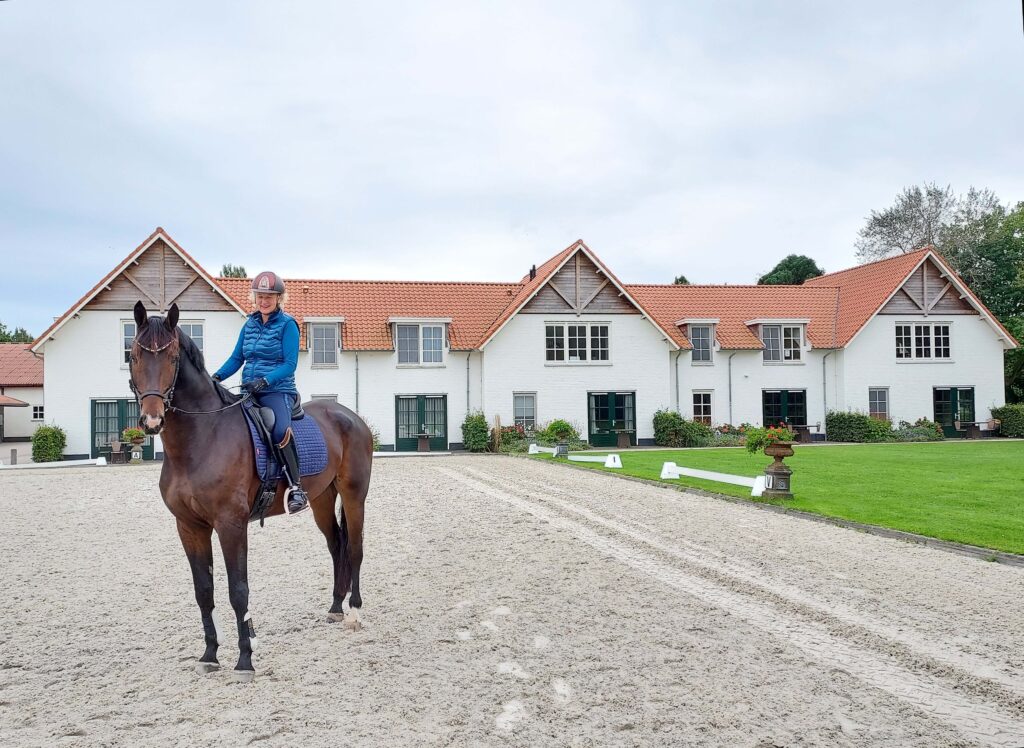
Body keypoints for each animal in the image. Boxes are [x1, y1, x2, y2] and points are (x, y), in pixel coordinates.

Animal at [127, 299, 374, 680]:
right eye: (136, 355)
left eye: (171, 358)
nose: (152, 419)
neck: (200, 439)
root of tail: (350, 415)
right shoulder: (189, 527)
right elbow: (204, 591)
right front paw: (210, 654)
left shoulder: (231, 524)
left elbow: (238, 590)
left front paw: (245, 658)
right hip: (321, 499)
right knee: (337, 546)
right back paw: (335, 607)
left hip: (353, 495)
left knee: (356, 548)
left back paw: (355, 612)